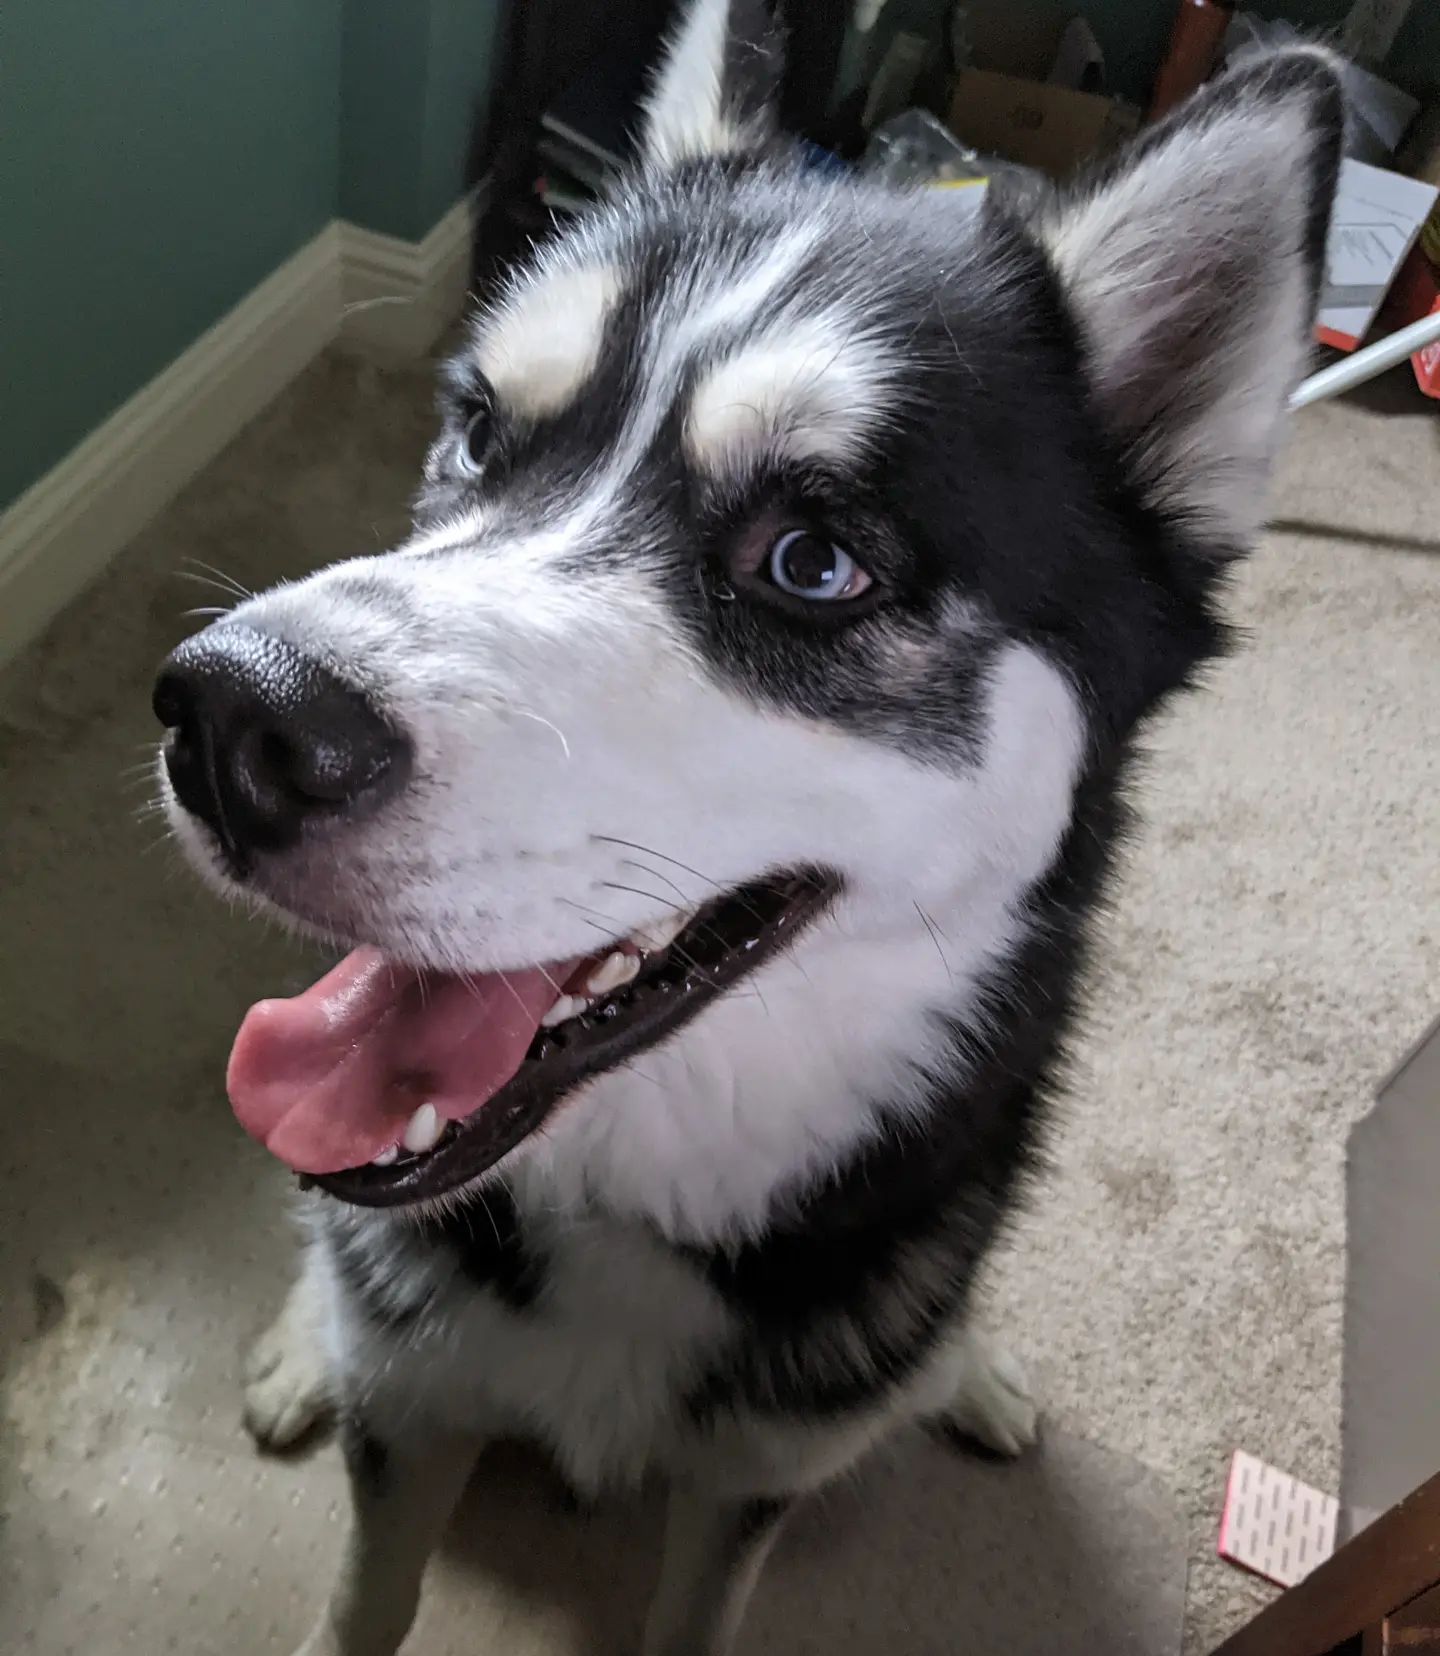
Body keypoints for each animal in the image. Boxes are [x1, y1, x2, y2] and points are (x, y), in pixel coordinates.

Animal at [152, 6, 1350, 1649]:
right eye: (479, 431)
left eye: (814, 561)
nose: (230, 724)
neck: (636, 1193)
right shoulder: (412, 1407)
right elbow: (362, 1597)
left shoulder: (750, 1485)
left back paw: (965, 1370)